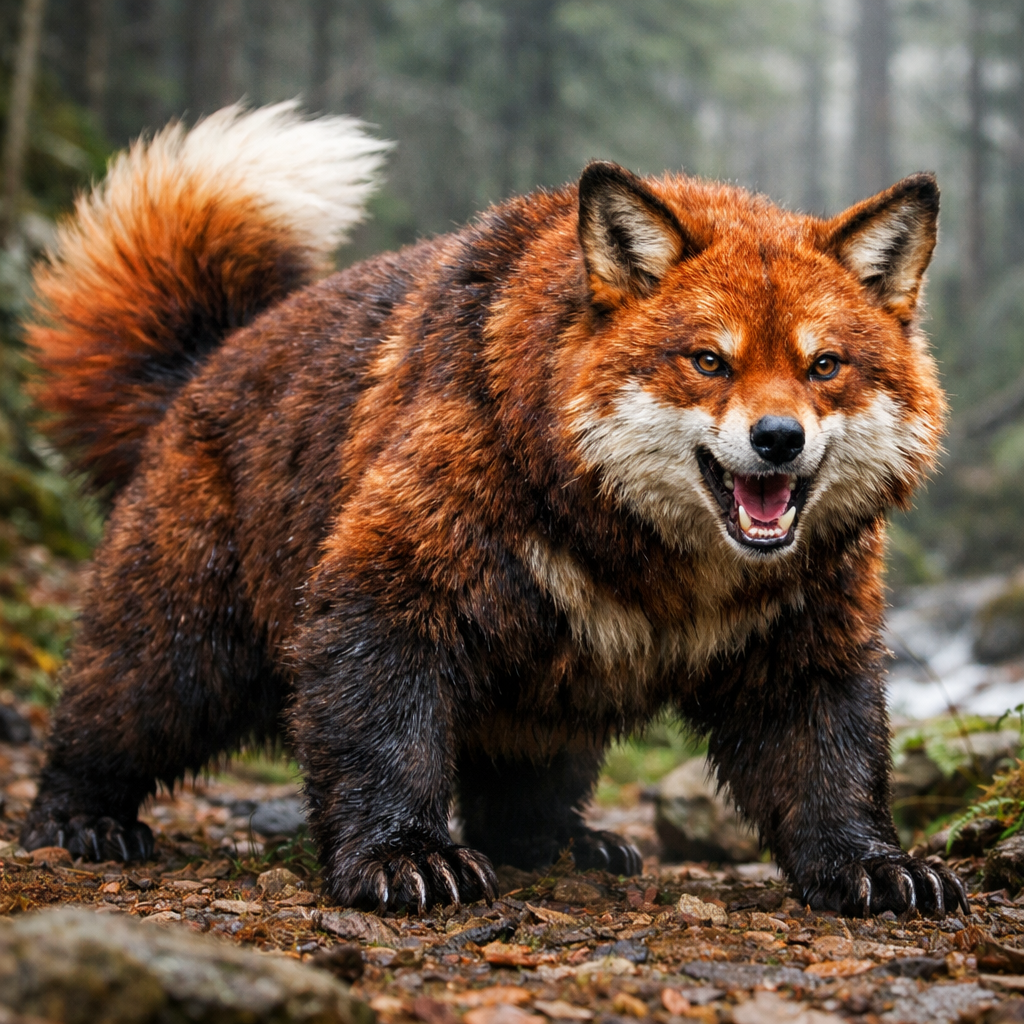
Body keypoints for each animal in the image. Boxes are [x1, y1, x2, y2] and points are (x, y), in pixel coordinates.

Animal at [20, 102, 967, 917]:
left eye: (824, 365)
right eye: (708, 360)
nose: (778, 440)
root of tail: (200, 367)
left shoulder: (807, 651)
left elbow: (831, 770)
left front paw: (871, 865)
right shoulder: (387, 594)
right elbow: (387, 739)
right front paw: (402, 855)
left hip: (554, 709)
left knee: (522, 799)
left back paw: (567, 845)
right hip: (181, 658)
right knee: (103, 722)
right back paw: (77, 820)